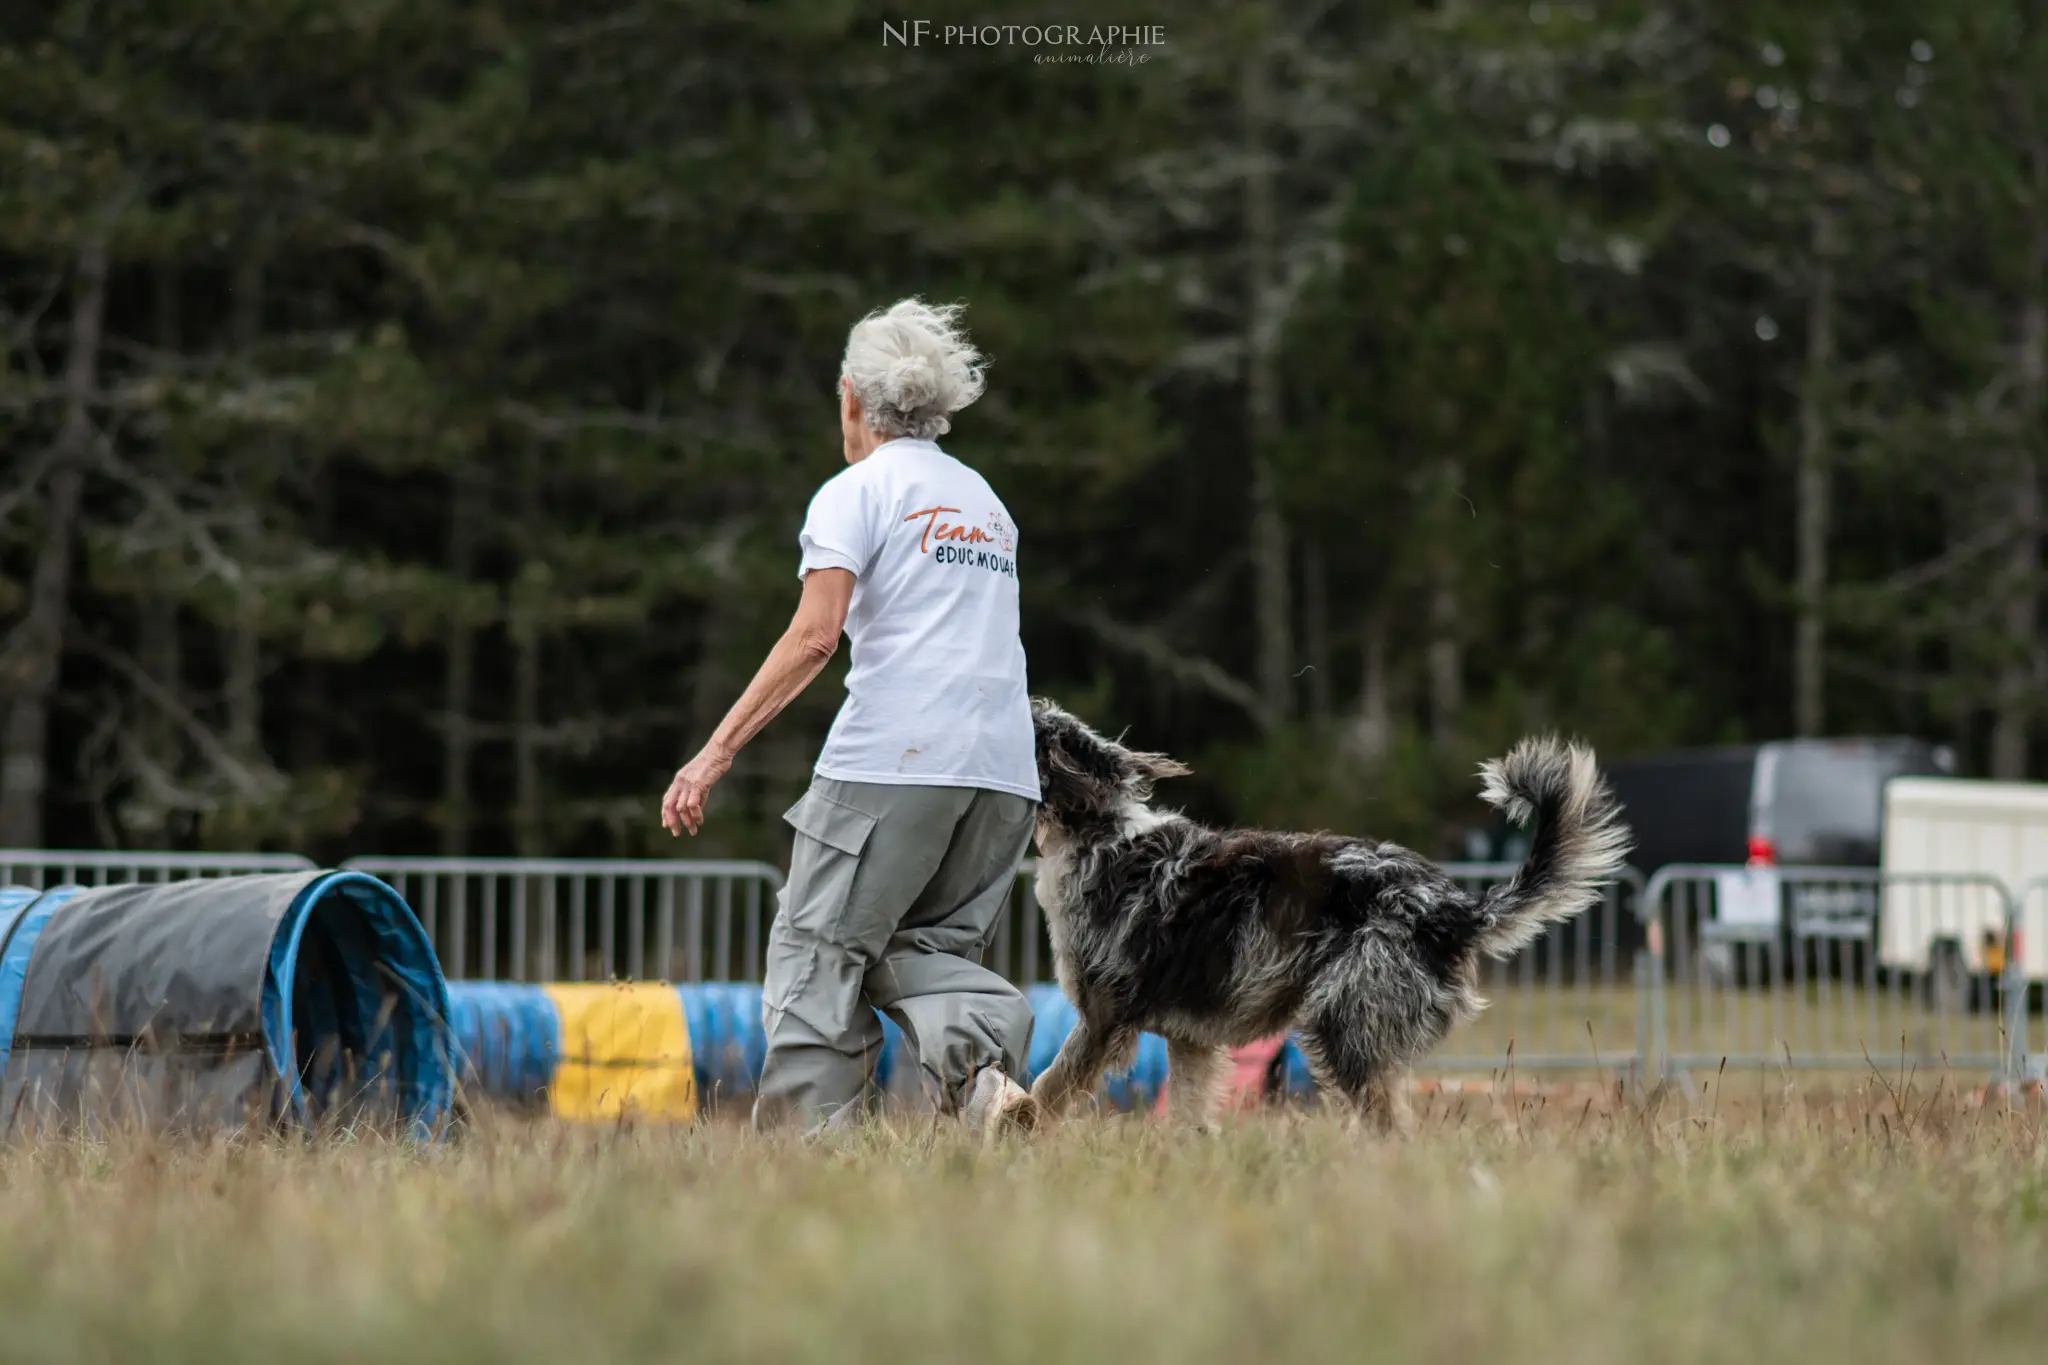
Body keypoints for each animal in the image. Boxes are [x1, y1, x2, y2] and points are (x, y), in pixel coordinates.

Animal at [1032, 699, 1622, 1137]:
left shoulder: (1104, 1018)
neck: (1097, 834)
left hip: (1345, 1022)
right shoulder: (1190, 1040)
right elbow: (1186, 1115)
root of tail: (1454, 908)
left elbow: (1047, 1089)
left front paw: (1018, 1133)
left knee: (1390, 1130)